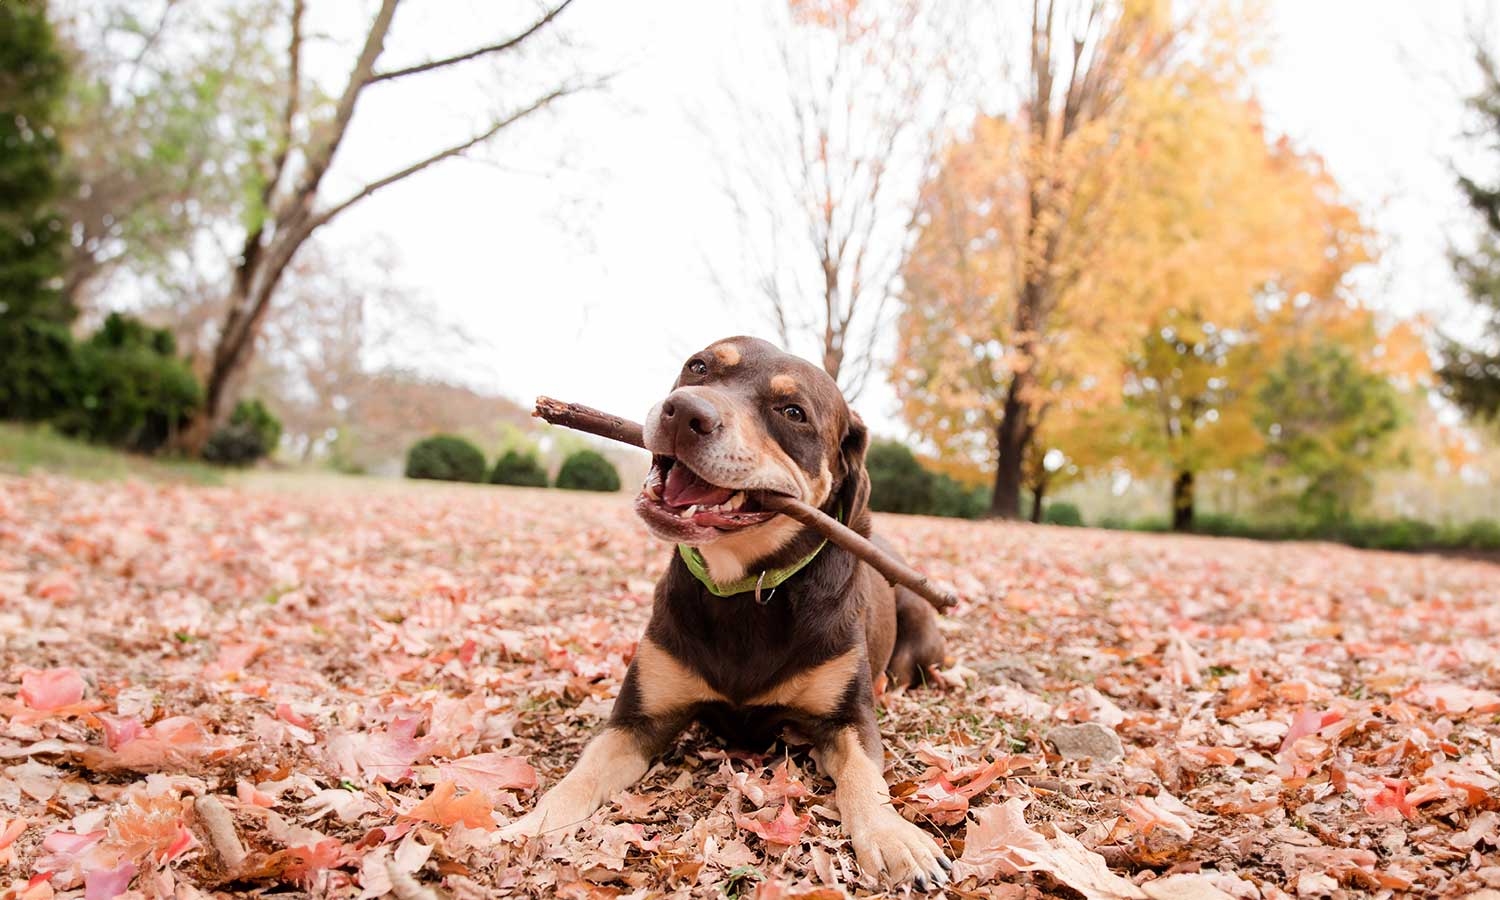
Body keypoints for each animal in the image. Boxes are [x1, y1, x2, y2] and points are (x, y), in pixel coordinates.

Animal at [504, 340, 948, 888]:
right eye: (699, 366)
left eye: (793, 412)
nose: (684, 412)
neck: (744, 588)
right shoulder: (637, 720)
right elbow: (581, 773)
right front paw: (531, 824)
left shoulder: (847, 718)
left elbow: (865, 773)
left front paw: (893, 836)